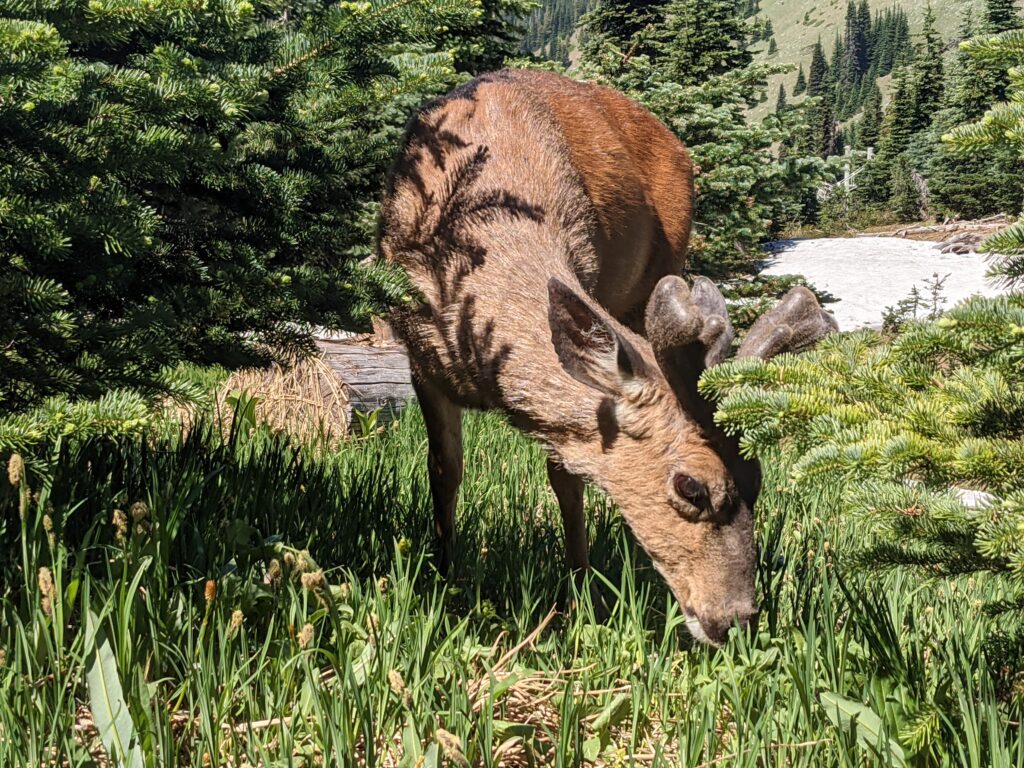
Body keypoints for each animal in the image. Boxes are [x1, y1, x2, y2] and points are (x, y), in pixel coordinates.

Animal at [377, 69, 837, 645]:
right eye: (692, 487)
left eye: (757, 481)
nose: (736, 620)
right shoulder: (419, 359)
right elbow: (444, 470)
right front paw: (444, 576)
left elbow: (566, 479)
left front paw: (577, 591)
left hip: (660, 269)